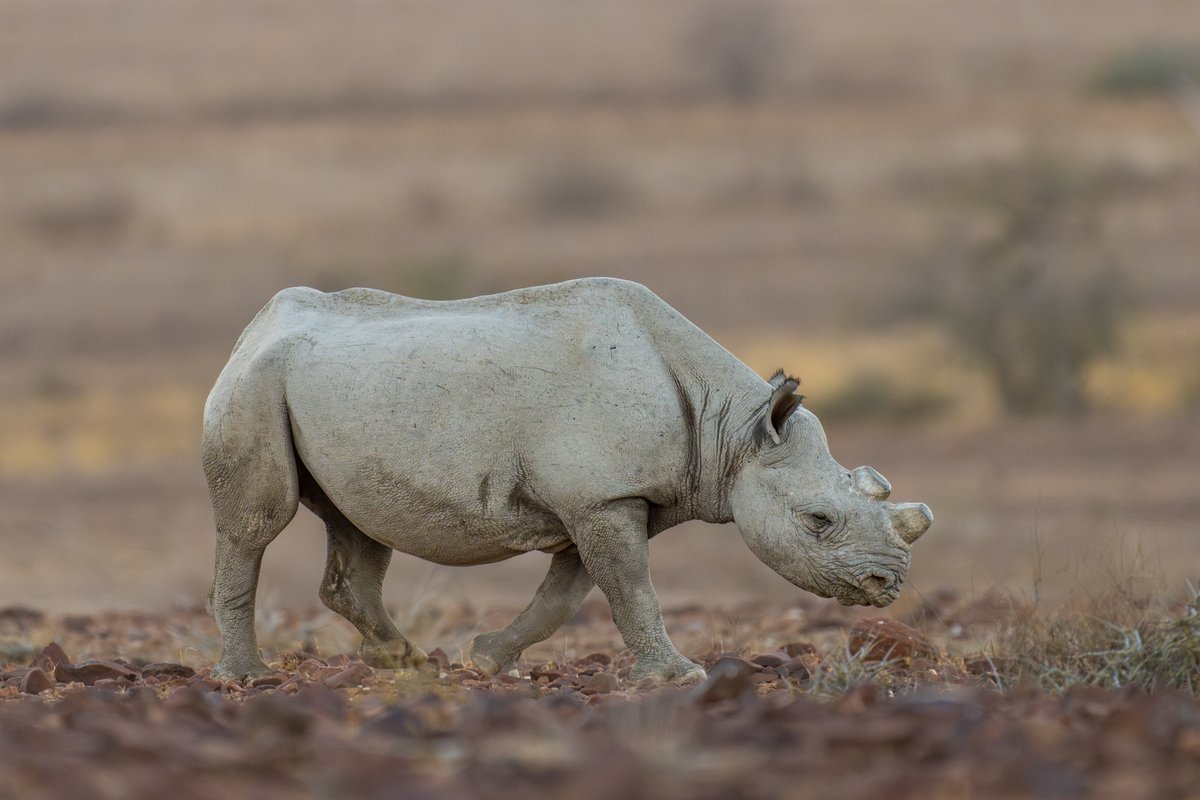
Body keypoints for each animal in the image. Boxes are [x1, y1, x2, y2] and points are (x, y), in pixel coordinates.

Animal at [202, 278, 932, 682]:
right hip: (254, 384)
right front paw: (678, 676)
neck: (733, 429)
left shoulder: (604, 499)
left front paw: (486, 659)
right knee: (257, 525)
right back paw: (246, 678)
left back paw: (405, 662)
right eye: (818, 521)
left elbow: (567, 596)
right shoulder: (602, 497)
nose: (885, 585)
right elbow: (632, 589)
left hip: (329, 394)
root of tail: (253, 328)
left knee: (359, 528)